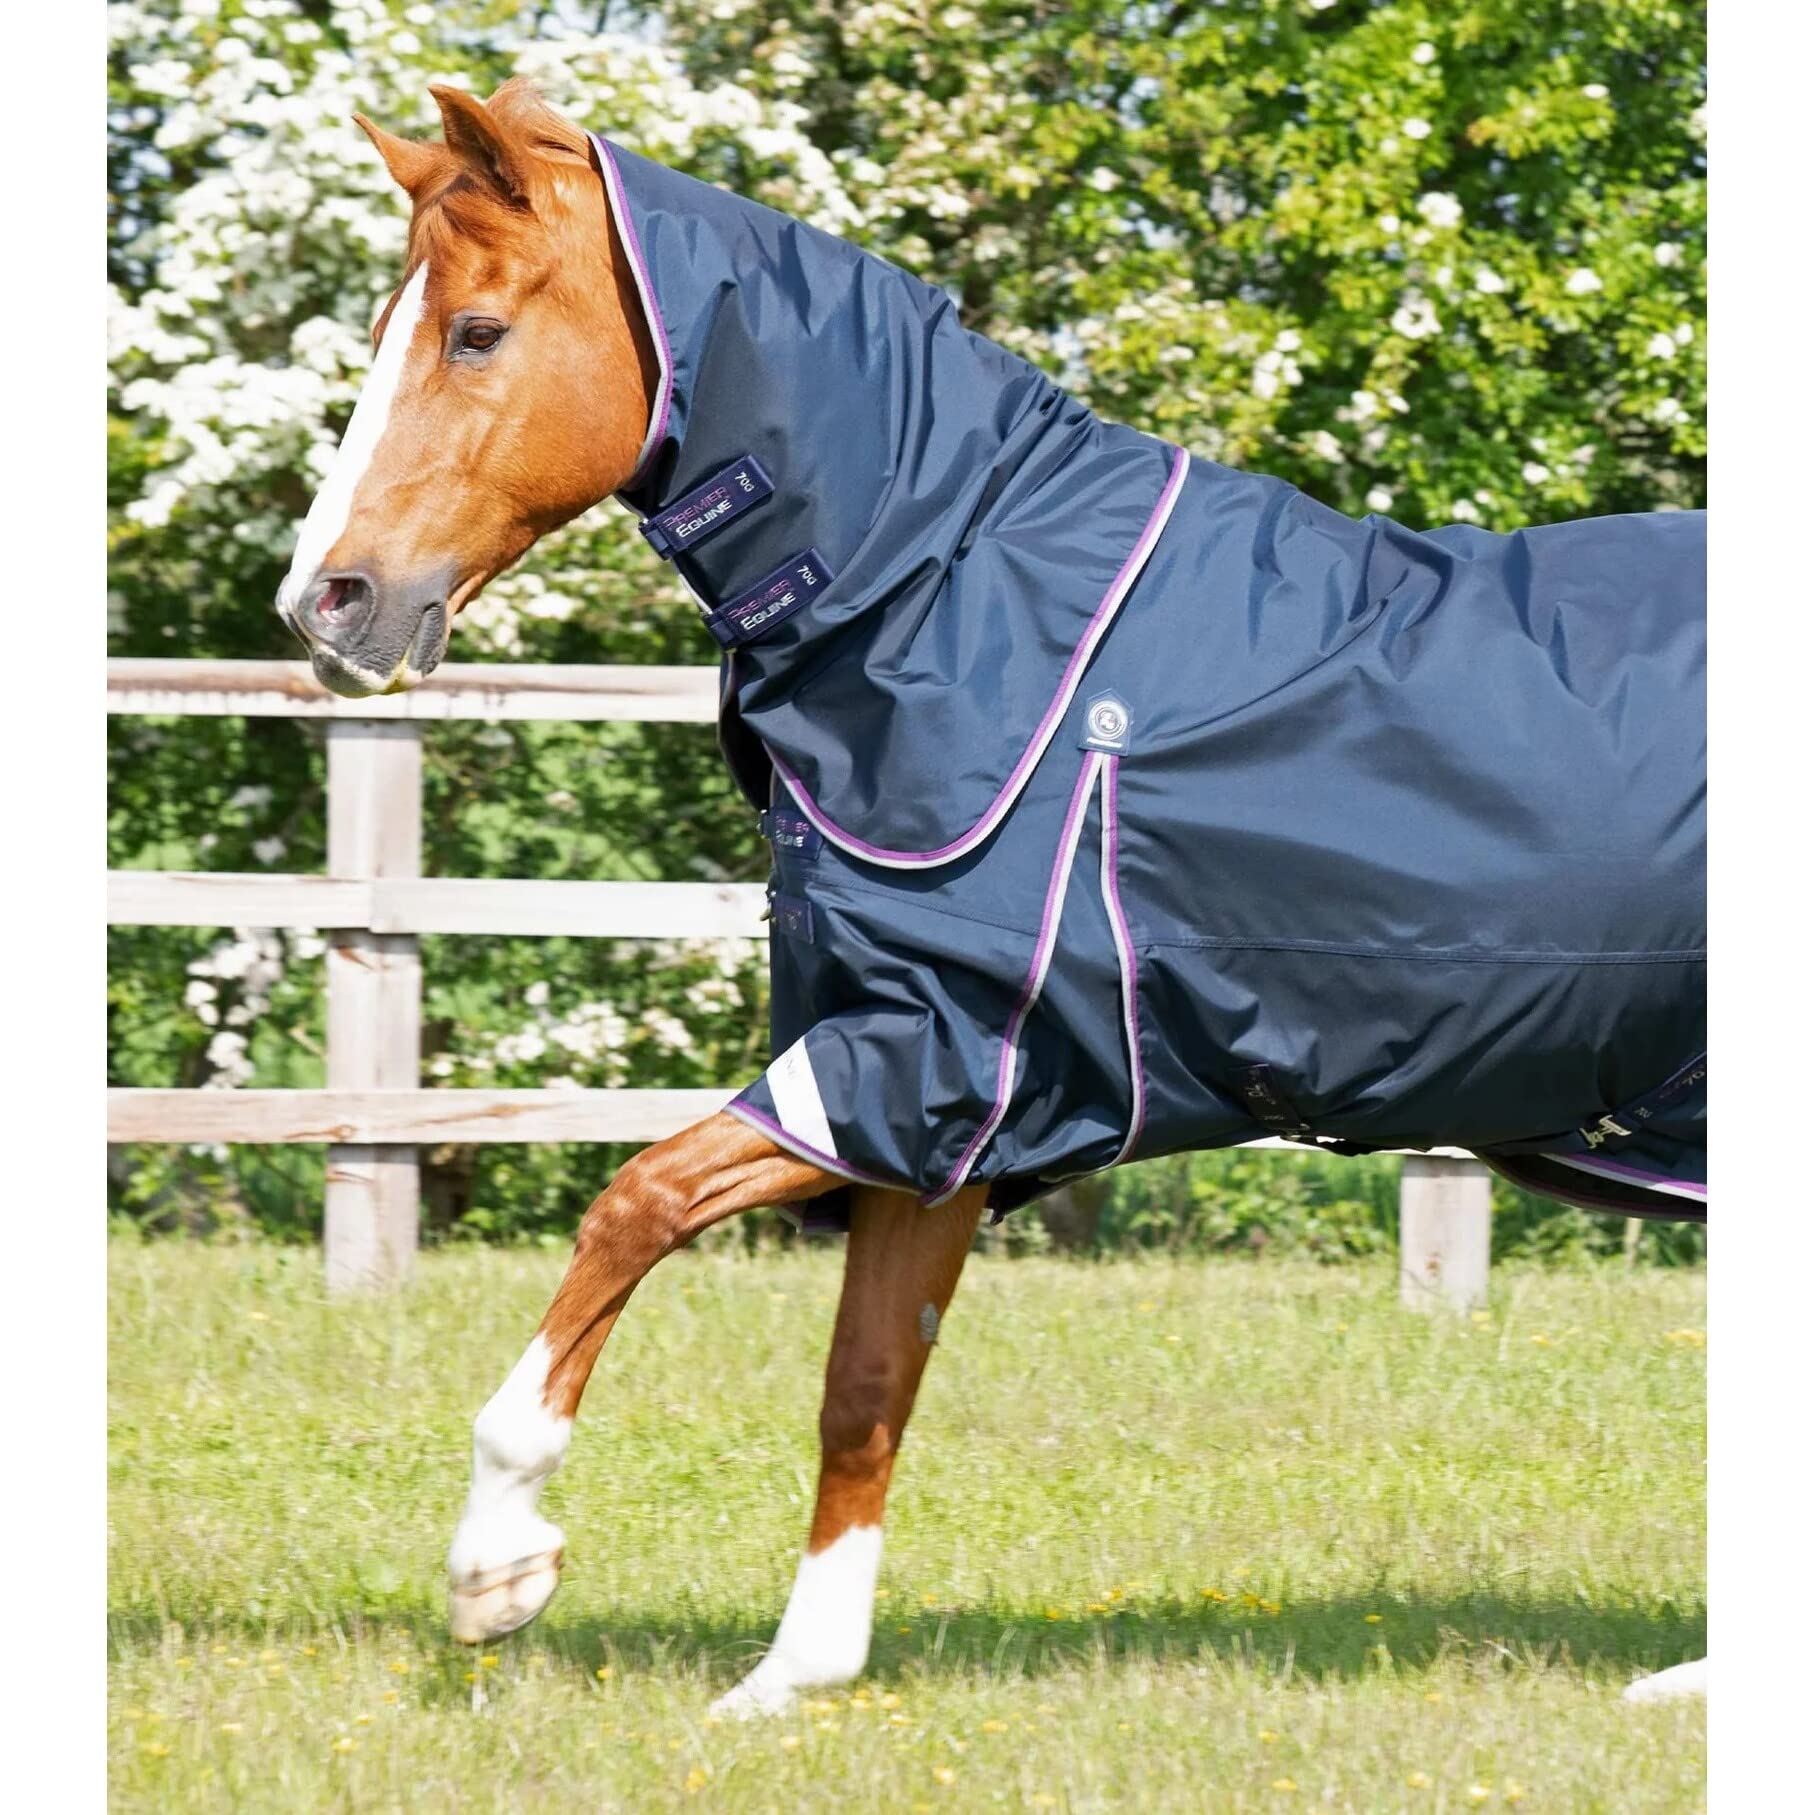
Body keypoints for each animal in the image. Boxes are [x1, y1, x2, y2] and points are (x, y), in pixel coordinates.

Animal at [274, 80, 1706, 1711]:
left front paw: (497, 1564)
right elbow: (862, 1382)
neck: (952, 594)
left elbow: (635, 1204)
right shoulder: (945, 1102)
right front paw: (793, 1676)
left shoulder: (924, 1055)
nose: (326, 601)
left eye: (475, 332)